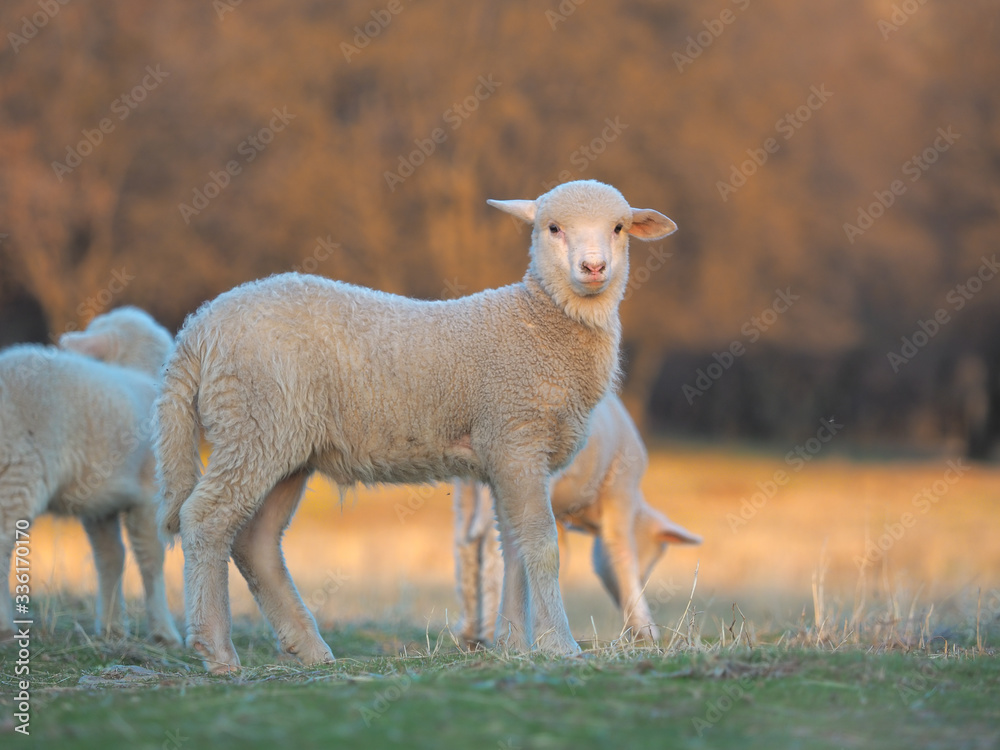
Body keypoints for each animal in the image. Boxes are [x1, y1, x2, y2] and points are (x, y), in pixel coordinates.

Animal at [0, 307, 182, 645]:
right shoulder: (148, 493)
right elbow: (151, 559)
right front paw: (164, 631)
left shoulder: (100, 504)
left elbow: (110, 557)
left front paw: (112, 628)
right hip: (17, 471)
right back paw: (5, 627)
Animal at [453, 393, 701, 646]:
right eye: (652, 556)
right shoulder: (621, 489)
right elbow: (622, 553)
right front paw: (645, 629)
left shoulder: (558, 514)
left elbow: (558, 554)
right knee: (495, 550)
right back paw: (490, 629)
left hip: (468, 490)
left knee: (467, 550)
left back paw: (470, 631)